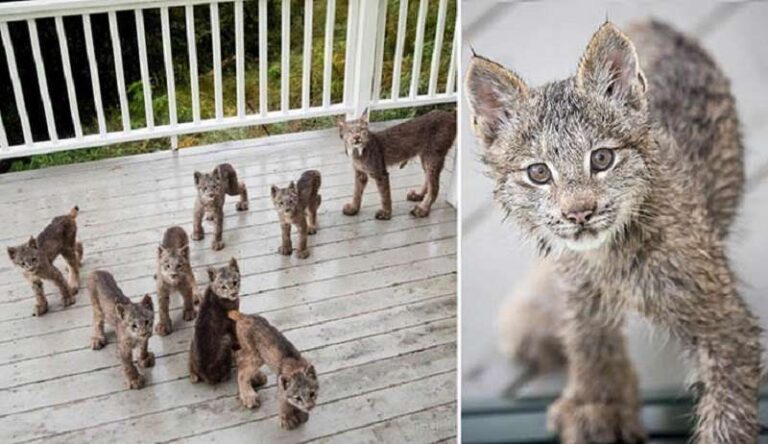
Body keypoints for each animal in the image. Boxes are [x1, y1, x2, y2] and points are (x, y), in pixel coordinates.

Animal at [189, 256, 240, 386]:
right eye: (223, 287)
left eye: (235, 282)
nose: (233, 293)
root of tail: (205, 376)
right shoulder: (233, 320)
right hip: (226, 339)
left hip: (192, 340)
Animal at [464, 21, 760, 444]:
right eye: (539, 173)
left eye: (602, 159)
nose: (579, 213)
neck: (608, 254)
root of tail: (655, 23)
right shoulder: (580, 286)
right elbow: (589, 339)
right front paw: (598, 405)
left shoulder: (725, 323)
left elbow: (727, 416)